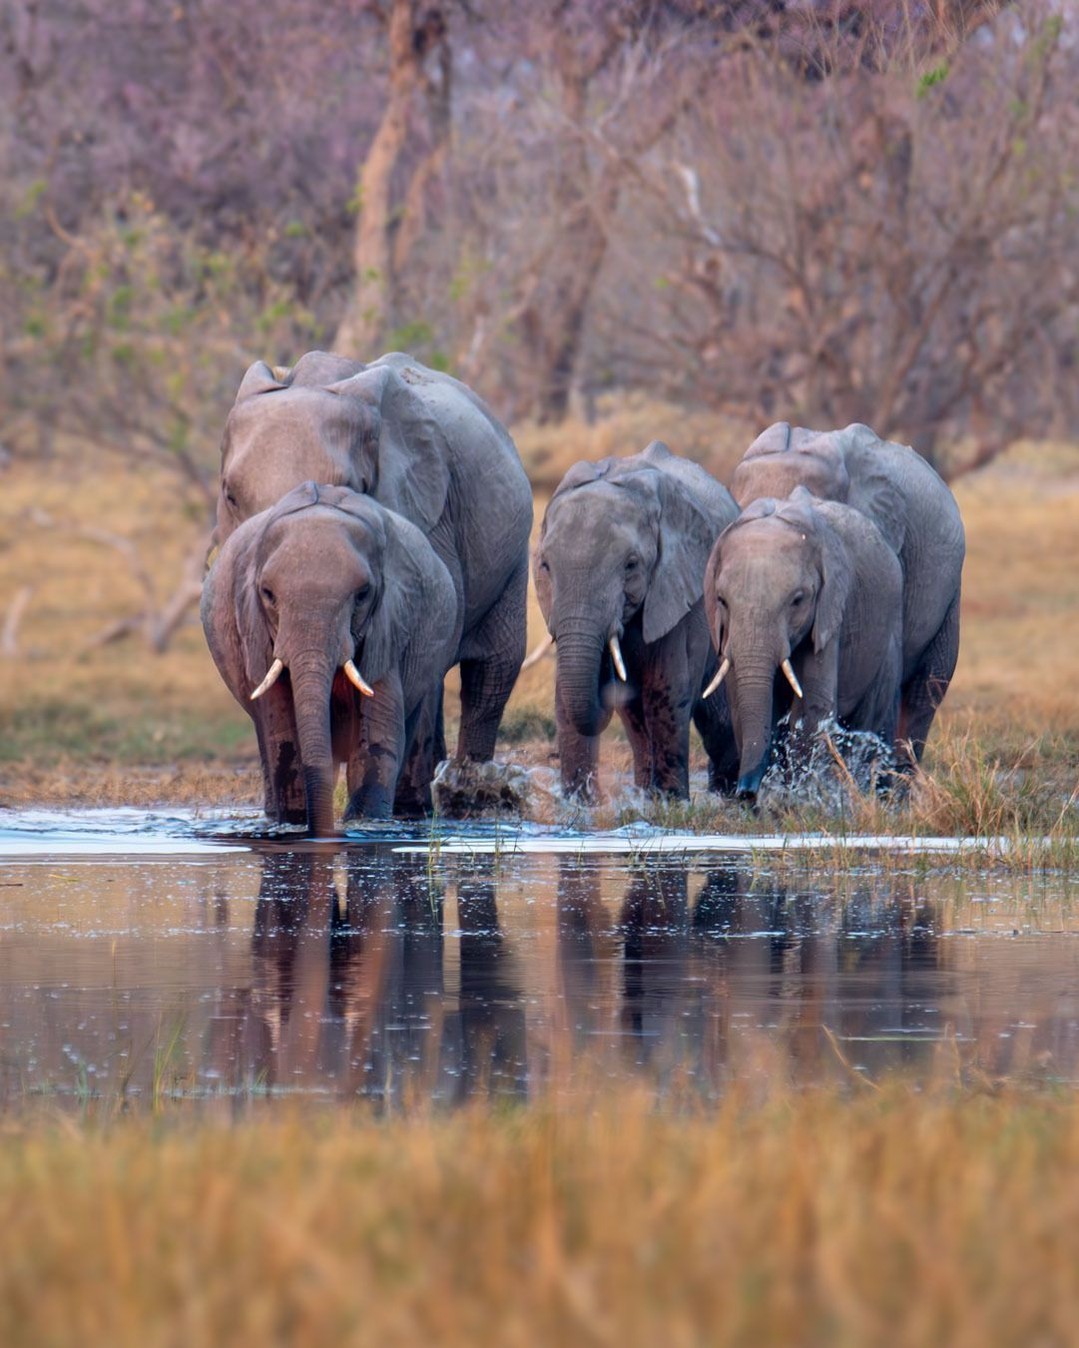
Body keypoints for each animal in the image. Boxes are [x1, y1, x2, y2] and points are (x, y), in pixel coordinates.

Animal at [201, 482, 458, 834]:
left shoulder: (389, 624)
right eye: (267, 594)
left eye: (363, 595)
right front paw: (296, 825)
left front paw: (366, 824)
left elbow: (378, 735)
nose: (323, 833)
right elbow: (282, 734)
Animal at [215, 350, 533, 800]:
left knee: (492, 669)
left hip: (512, 550)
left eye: (349, 490)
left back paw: (463, 789)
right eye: (230, 496)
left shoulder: (429, 520)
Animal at [533, 440, 740, 800]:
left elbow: (667, 687)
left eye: (631, 565)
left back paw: (727, 794)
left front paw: (672, 803)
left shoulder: (680, 587)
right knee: (635, 715)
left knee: (716, 719)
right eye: (545, 565)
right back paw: (647, 791)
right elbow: (567, 696)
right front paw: (578, 803)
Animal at [703, 487, 904, 800]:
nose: (745, 792)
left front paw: (795, 797)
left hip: (888, 635)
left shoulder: (830, 611)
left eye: (798, 600)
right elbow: (740, 700)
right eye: (722, 600)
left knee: (872, 717)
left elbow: (812, 702)